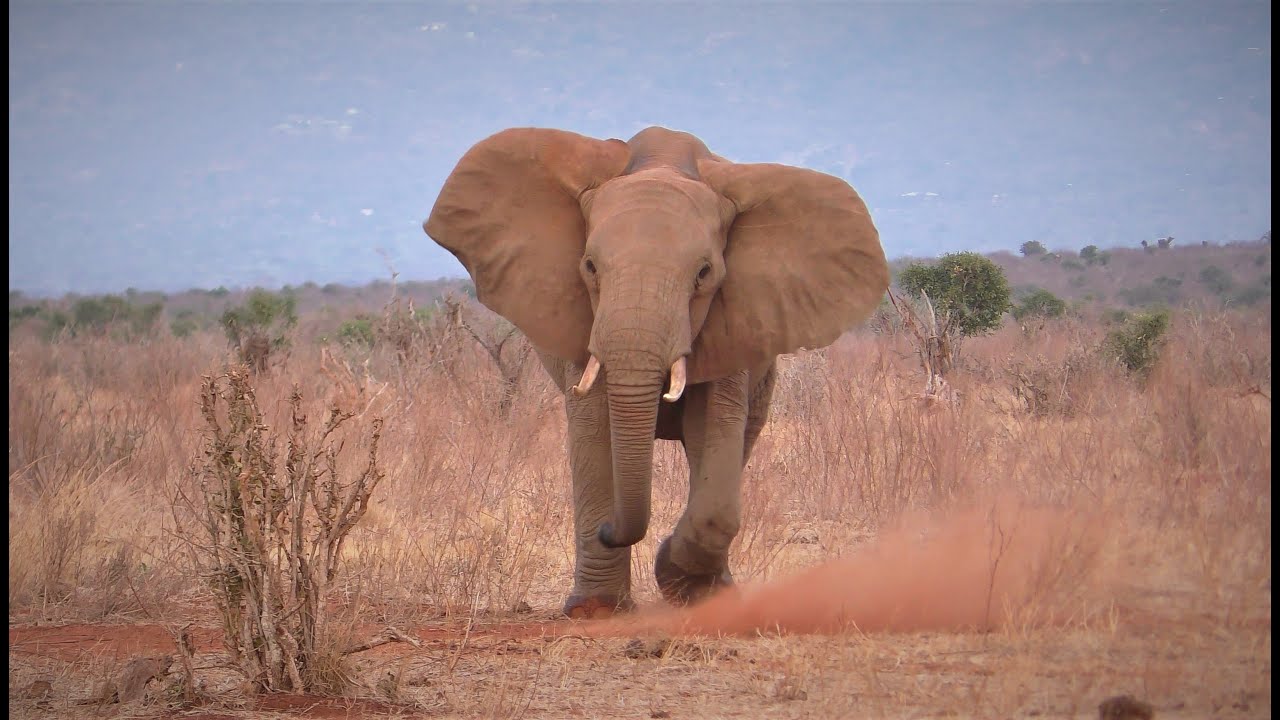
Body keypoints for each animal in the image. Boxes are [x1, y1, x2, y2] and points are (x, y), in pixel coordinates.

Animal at [423, 126, 889, 619]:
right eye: (590, 267)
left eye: (704, 273)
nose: (609, 530)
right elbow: (593, 429)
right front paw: (596, 610)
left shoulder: (730, 321)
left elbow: (714, 431)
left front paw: (681, 583)